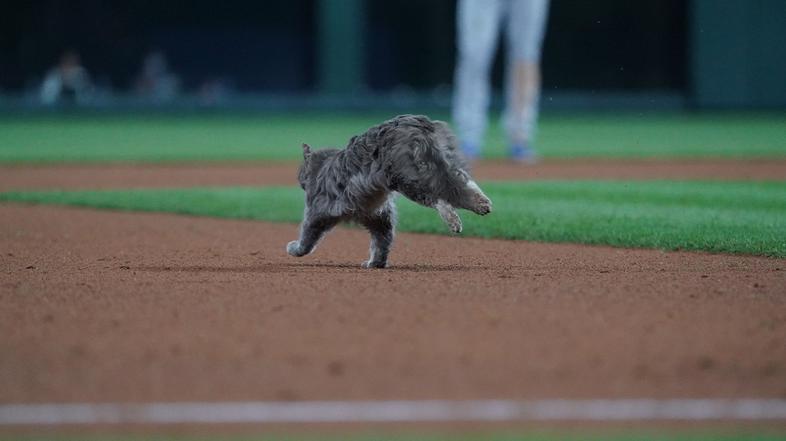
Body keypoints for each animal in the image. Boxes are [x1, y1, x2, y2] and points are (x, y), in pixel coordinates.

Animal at [288, 113, 490, 268]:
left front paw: (295, 248)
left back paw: (453, 219)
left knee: (438, 197)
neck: (322, 166)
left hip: (408, 177)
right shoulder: (377, 216)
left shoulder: (317, 211)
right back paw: (481, 202)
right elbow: (381, 243)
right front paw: (376, 263)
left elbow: (307, 237)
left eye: (300, 173)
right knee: (461, 183)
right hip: (440, 165)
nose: (300, 180)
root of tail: (412, 119)